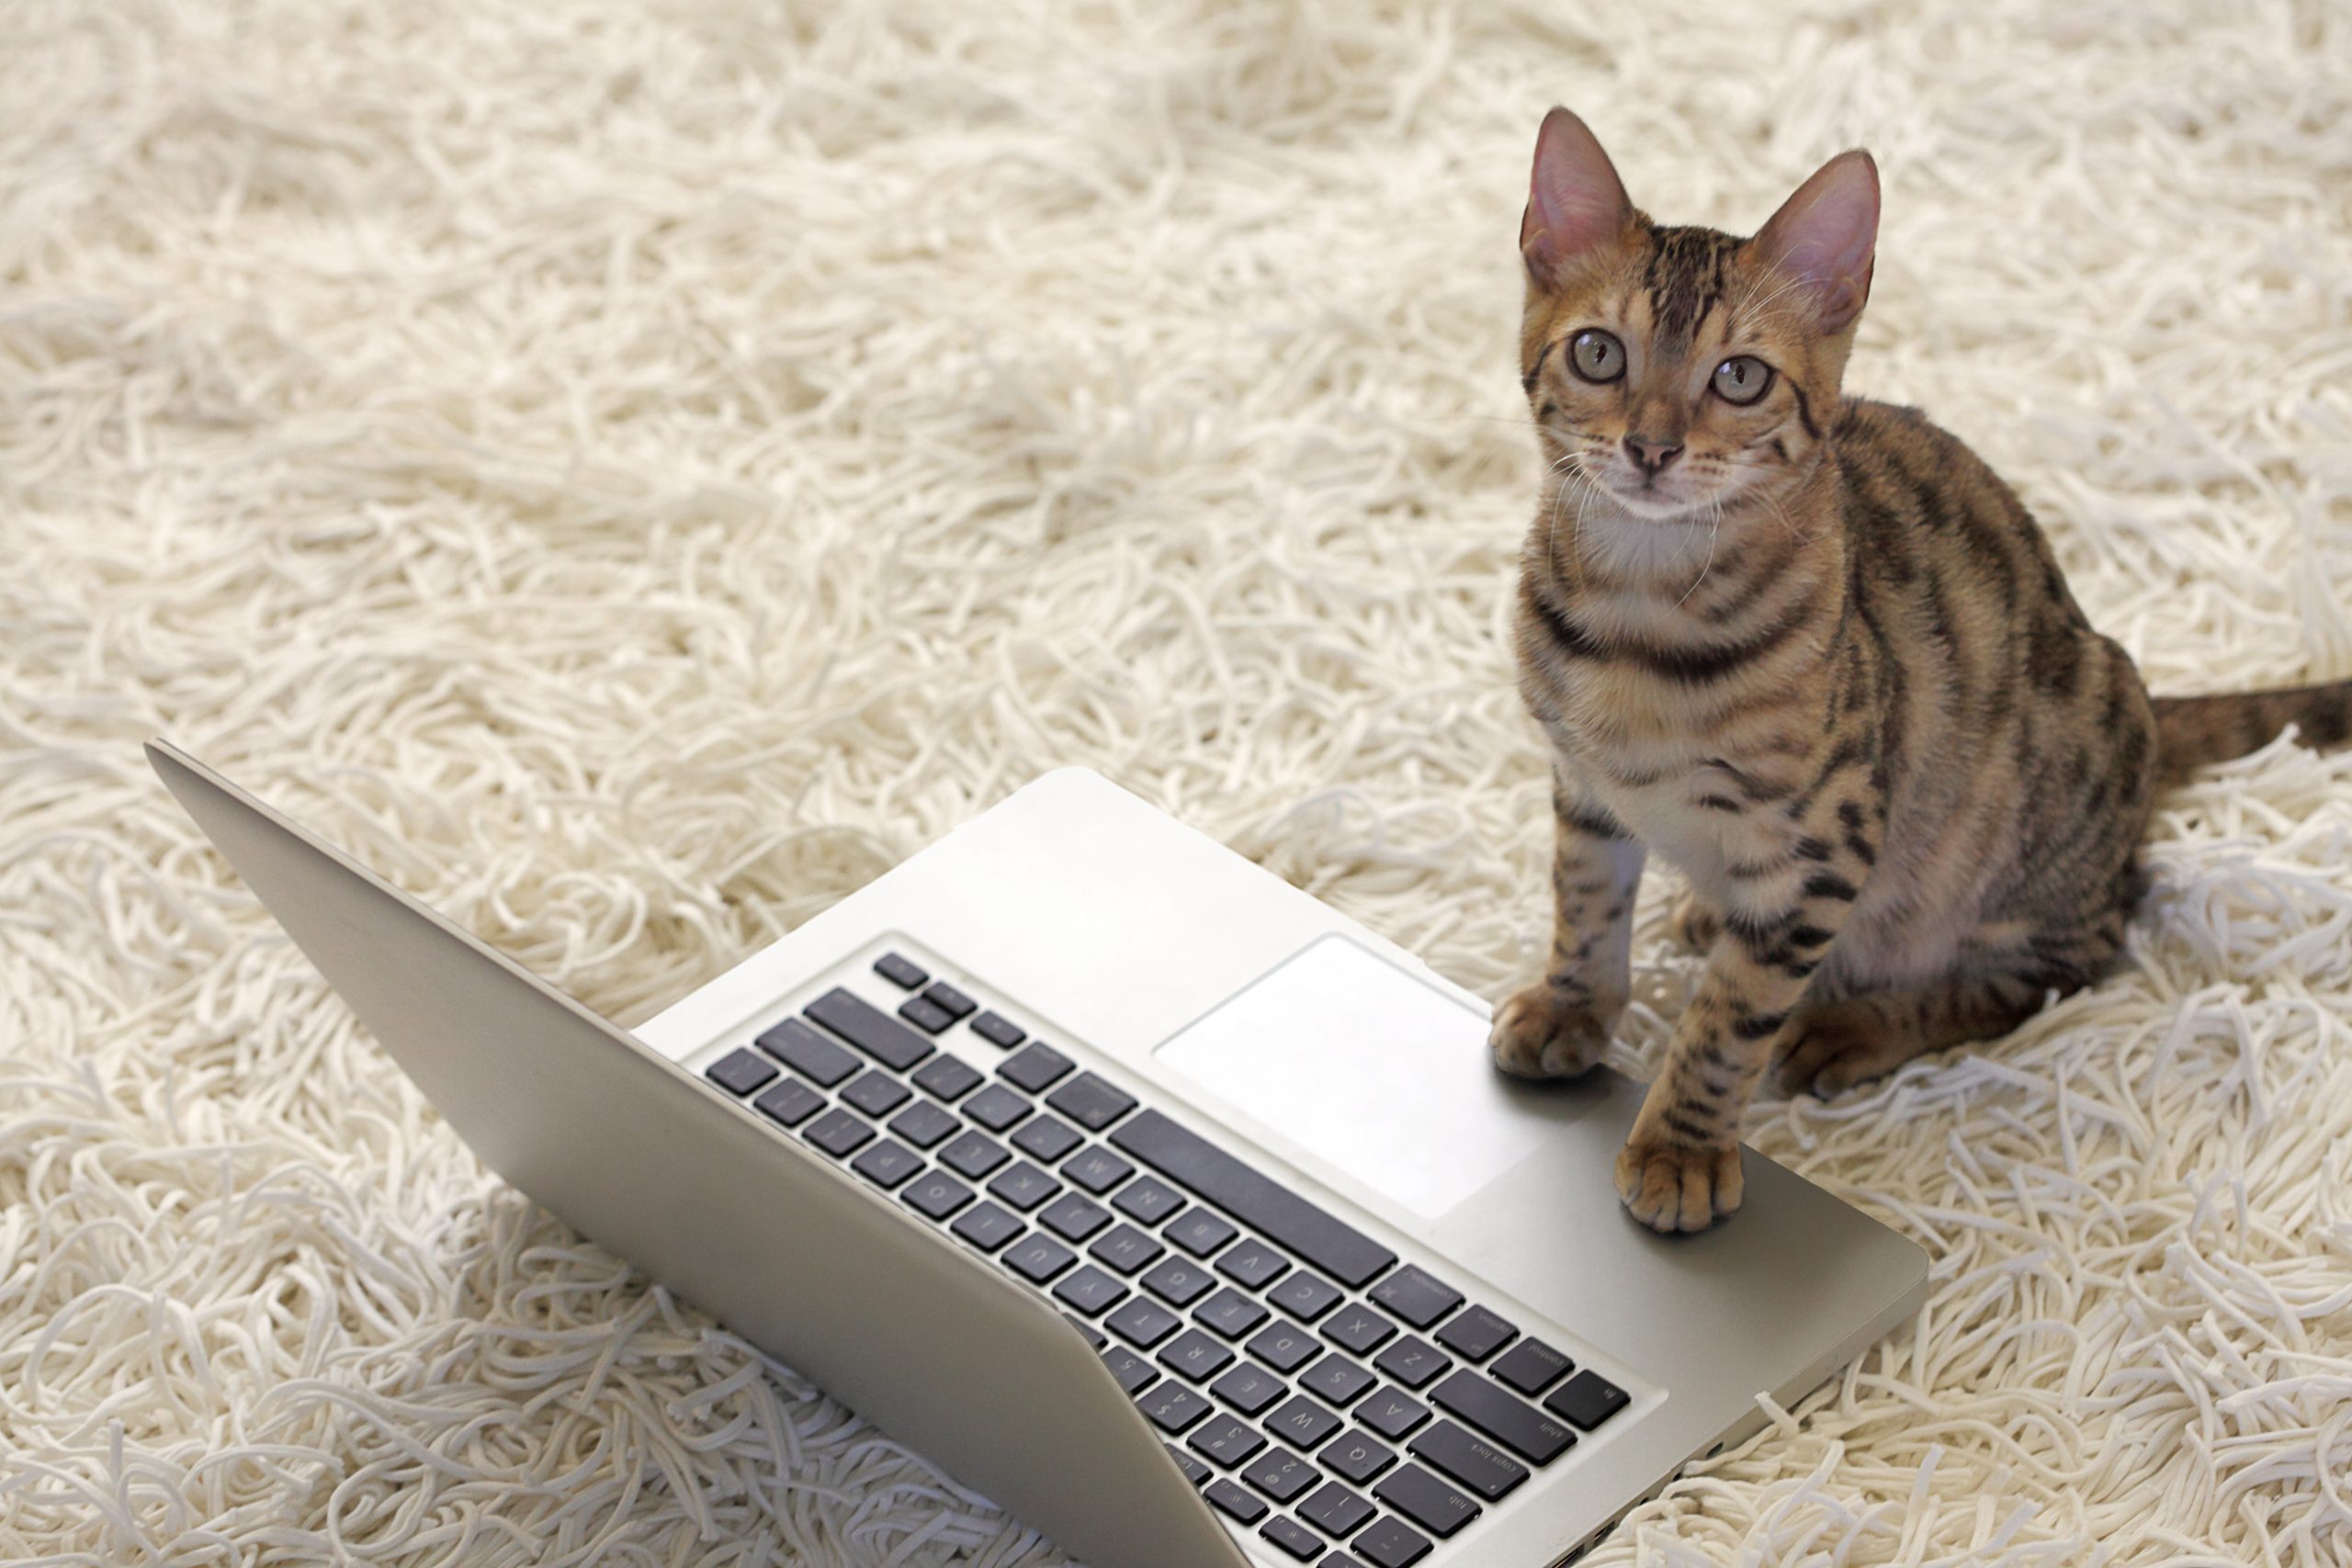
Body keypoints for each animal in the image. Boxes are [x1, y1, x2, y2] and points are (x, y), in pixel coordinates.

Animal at [1496, 110, 2342, 1241]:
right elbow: (1584, 905)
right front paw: (1573, 1006)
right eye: (1597, 353)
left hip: (2018, 847)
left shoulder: (1829, 839)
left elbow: (1727, 1022)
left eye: (1739, 377)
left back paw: (1852, 1025)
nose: (1650, 448)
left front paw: (1681, 1147)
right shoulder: (1585, 787)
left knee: (2064, 964)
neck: (1640, 603)